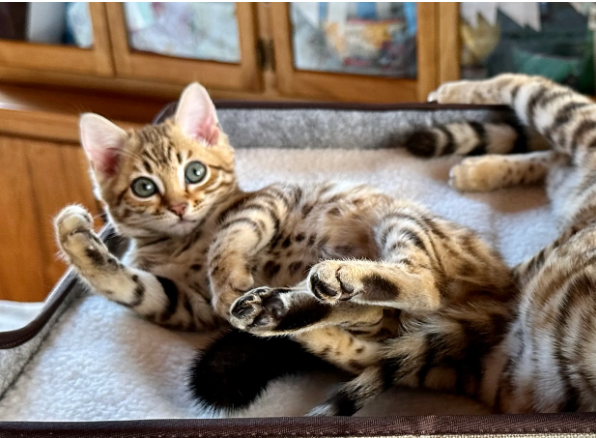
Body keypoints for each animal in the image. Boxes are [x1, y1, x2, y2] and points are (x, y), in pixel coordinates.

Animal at [54, 82, 513, 415]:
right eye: (144, 187)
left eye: (195, 172)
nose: (180, 207)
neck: (182, 241)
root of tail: (504, 287)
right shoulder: (186, 303)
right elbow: (133, 288)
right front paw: (78, 242)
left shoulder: (268, 199)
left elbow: (229, 235)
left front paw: (227, 277)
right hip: (390, 331)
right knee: (369, 335)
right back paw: (285, 316)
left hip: (398, 218)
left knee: (422, 286)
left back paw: (323, 286)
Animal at [238, 73, 596, 416]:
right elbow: (370, 346)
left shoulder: (471, 357)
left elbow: (374, 352)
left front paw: (291, 316)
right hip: (568, 125)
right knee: (527, 95)